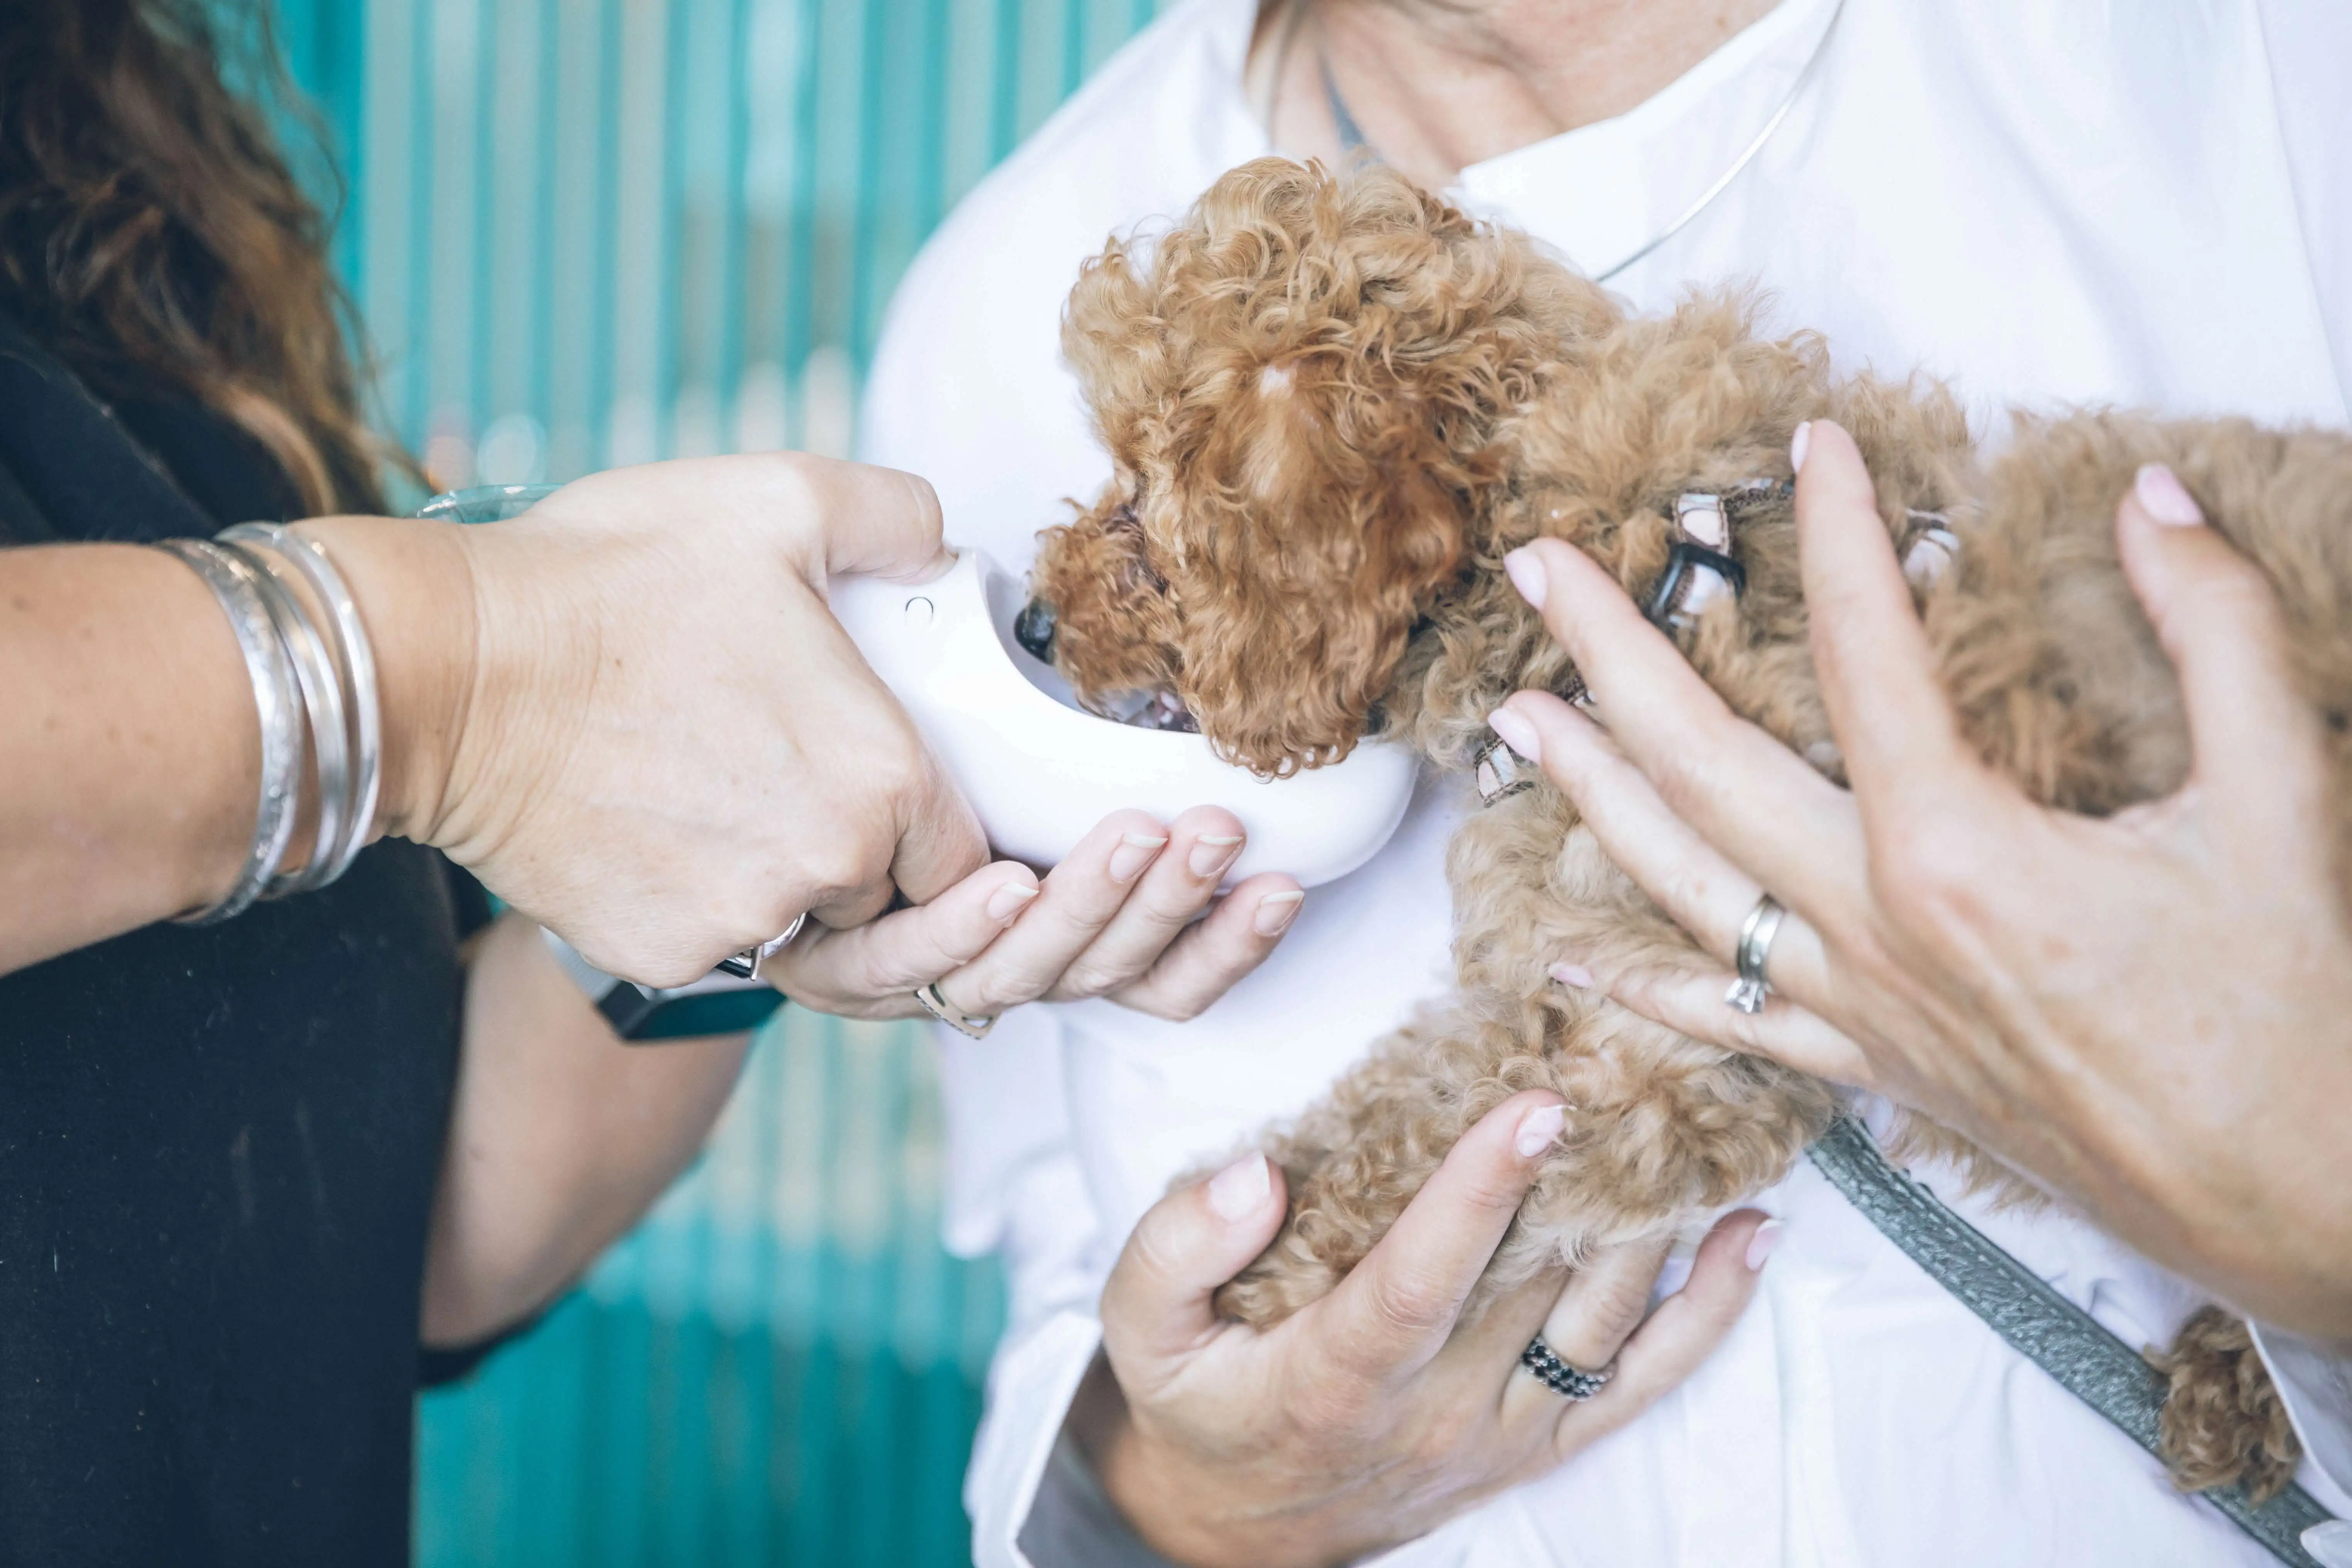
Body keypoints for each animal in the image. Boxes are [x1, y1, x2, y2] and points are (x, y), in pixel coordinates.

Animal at [1021, 160, 2342, 1495]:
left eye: (1143, 499)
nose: (1031, 621)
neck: (1606, 564)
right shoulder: (1575, 974)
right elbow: (1403, 1090)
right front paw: (1251, 1193)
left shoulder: (1650, 1052)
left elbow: (1413, 1159)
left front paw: (1260, 1274)